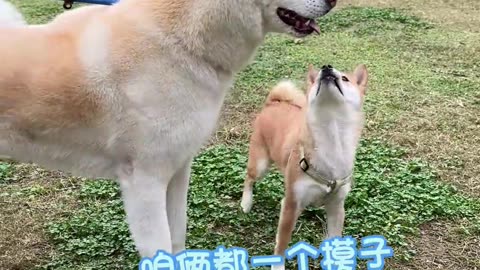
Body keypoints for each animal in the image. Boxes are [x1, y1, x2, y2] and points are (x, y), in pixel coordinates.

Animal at [240, 63, 368, 268]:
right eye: (316, 81)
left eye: (345, 78)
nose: (326, 67)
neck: (331, 137)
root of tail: (274, 102)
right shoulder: (291, 205)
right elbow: (282, 244)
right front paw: (277, 267)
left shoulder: (336, 207)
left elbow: (335, 237)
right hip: (260, 164)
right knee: (249, 178)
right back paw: (246, 203)